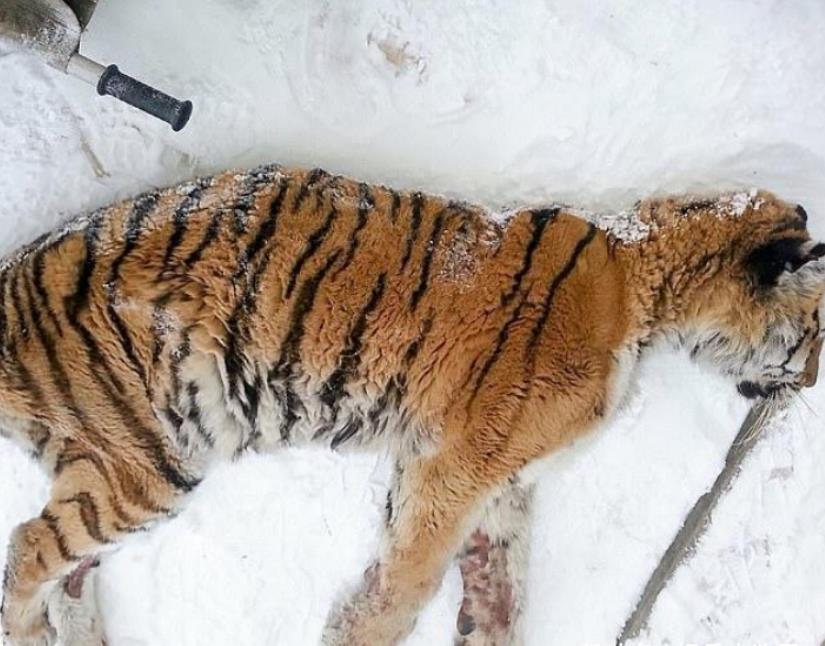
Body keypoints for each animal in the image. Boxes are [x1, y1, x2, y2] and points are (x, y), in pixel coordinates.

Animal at [0, 162, 822, 646]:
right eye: (815, 333)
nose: (812, 385)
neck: (645, 286)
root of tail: (11, 276)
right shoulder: (460, 459)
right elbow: (413, 572)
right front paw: (357, 633)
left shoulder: (503, 475)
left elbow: (501, 578)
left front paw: (482, 627)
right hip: (150, 457)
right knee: (29, 546)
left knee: (65, 565)